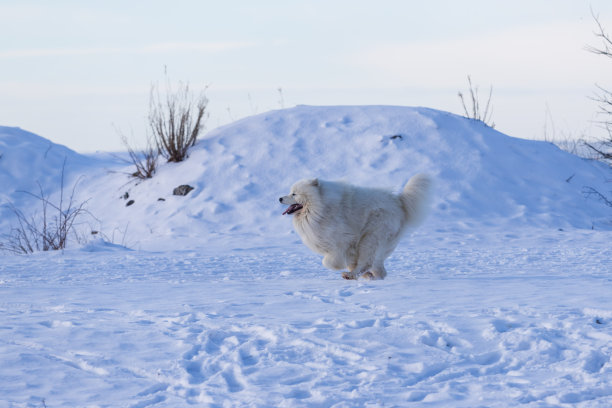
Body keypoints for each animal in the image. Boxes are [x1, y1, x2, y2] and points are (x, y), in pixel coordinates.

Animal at [280, 174, 430, 278]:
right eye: (290, 192)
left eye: (294, 193)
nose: (280, 198)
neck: (320, 208)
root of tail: (399, 201)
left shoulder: (343, 241)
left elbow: (328, 262)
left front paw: (339, 266)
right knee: (380, 271)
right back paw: (369, 276)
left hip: (371, 237)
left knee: (367, 262)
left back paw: (351, 275)